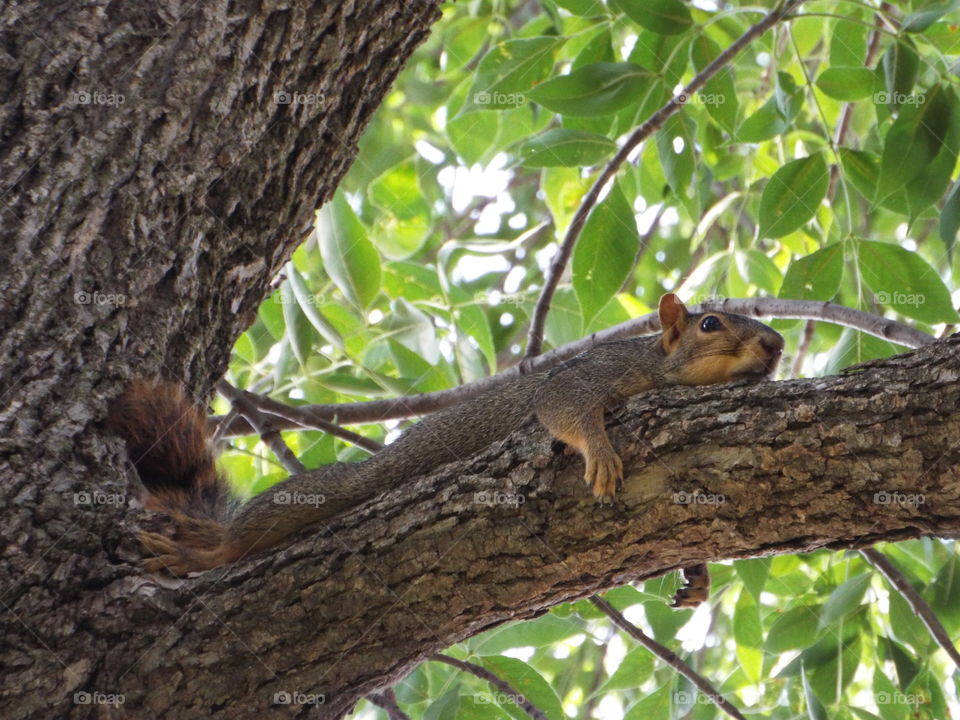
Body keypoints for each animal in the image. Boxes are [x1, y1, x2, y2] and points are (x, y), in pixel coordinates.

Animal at [109, 293, 784, 609]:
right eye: (710, 325)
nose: (777, 346)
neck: (657, 367)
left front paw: (697, 576)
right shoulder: (597, 375)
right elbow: (564, 405)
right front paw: (601, 451)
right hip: (337, 489)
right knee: (251, 533)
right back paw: (202, 552)